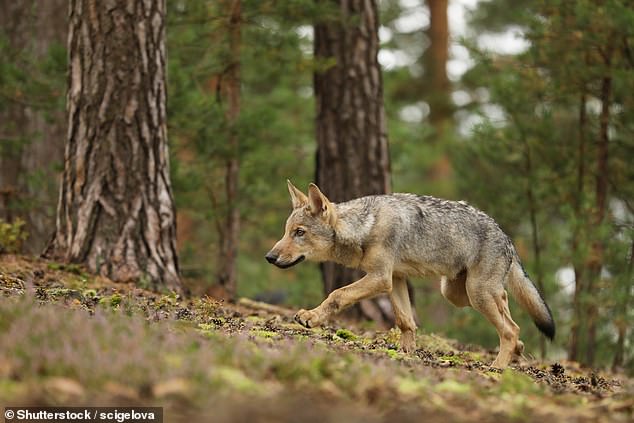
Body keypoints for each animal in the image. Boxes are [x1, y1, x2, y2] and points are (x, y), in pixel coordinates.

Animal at [266, 181, 552, 370]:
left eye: (299, 233)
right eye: (286, 231)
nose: (269, 257)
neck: (364, 226)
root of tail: (507, 238)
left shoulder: (380, 278)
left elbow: (337, 294)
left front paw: (311, 317)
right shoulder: (395, 279)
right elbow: (406, 321)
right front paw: (406, 353)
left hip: (475, 294)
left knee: (510, 329)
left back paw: (498, 367)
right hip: (457, 294)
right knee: (508, 311)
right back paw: (518, 352)